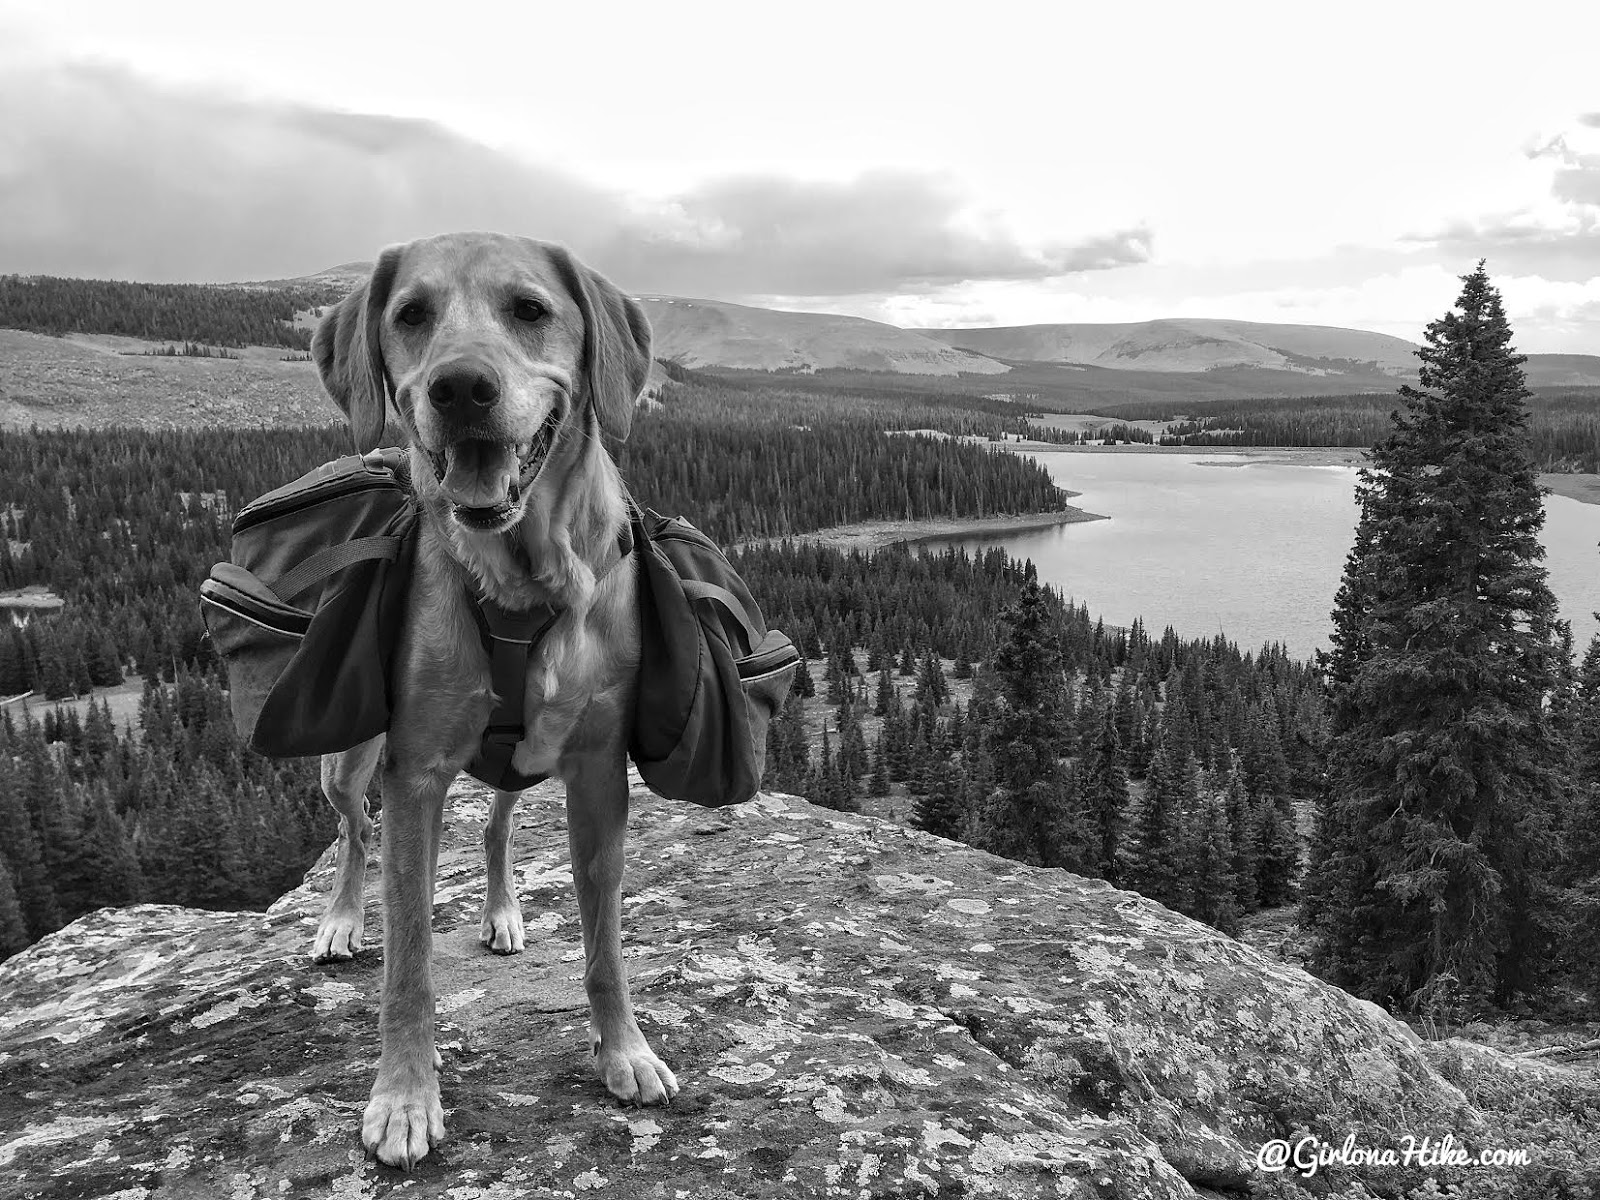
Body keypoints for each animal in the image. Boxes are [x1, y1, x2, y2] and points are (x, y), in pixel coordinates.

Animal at [302, 230, 672, 1171]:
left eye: (530, 310)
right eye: (410, 316)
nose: (461, 387)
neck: (522, 578)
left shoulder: (596, 774)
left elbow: (606, 944)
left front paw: (624, 1049)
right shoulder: (415, 773)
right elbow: (408, 963)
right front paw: (404, 1097)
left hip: (523, 758)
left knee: (500, 826)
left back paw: (502, 909)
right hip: (347, 763)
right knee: (352, 831)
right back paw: (341, 918)